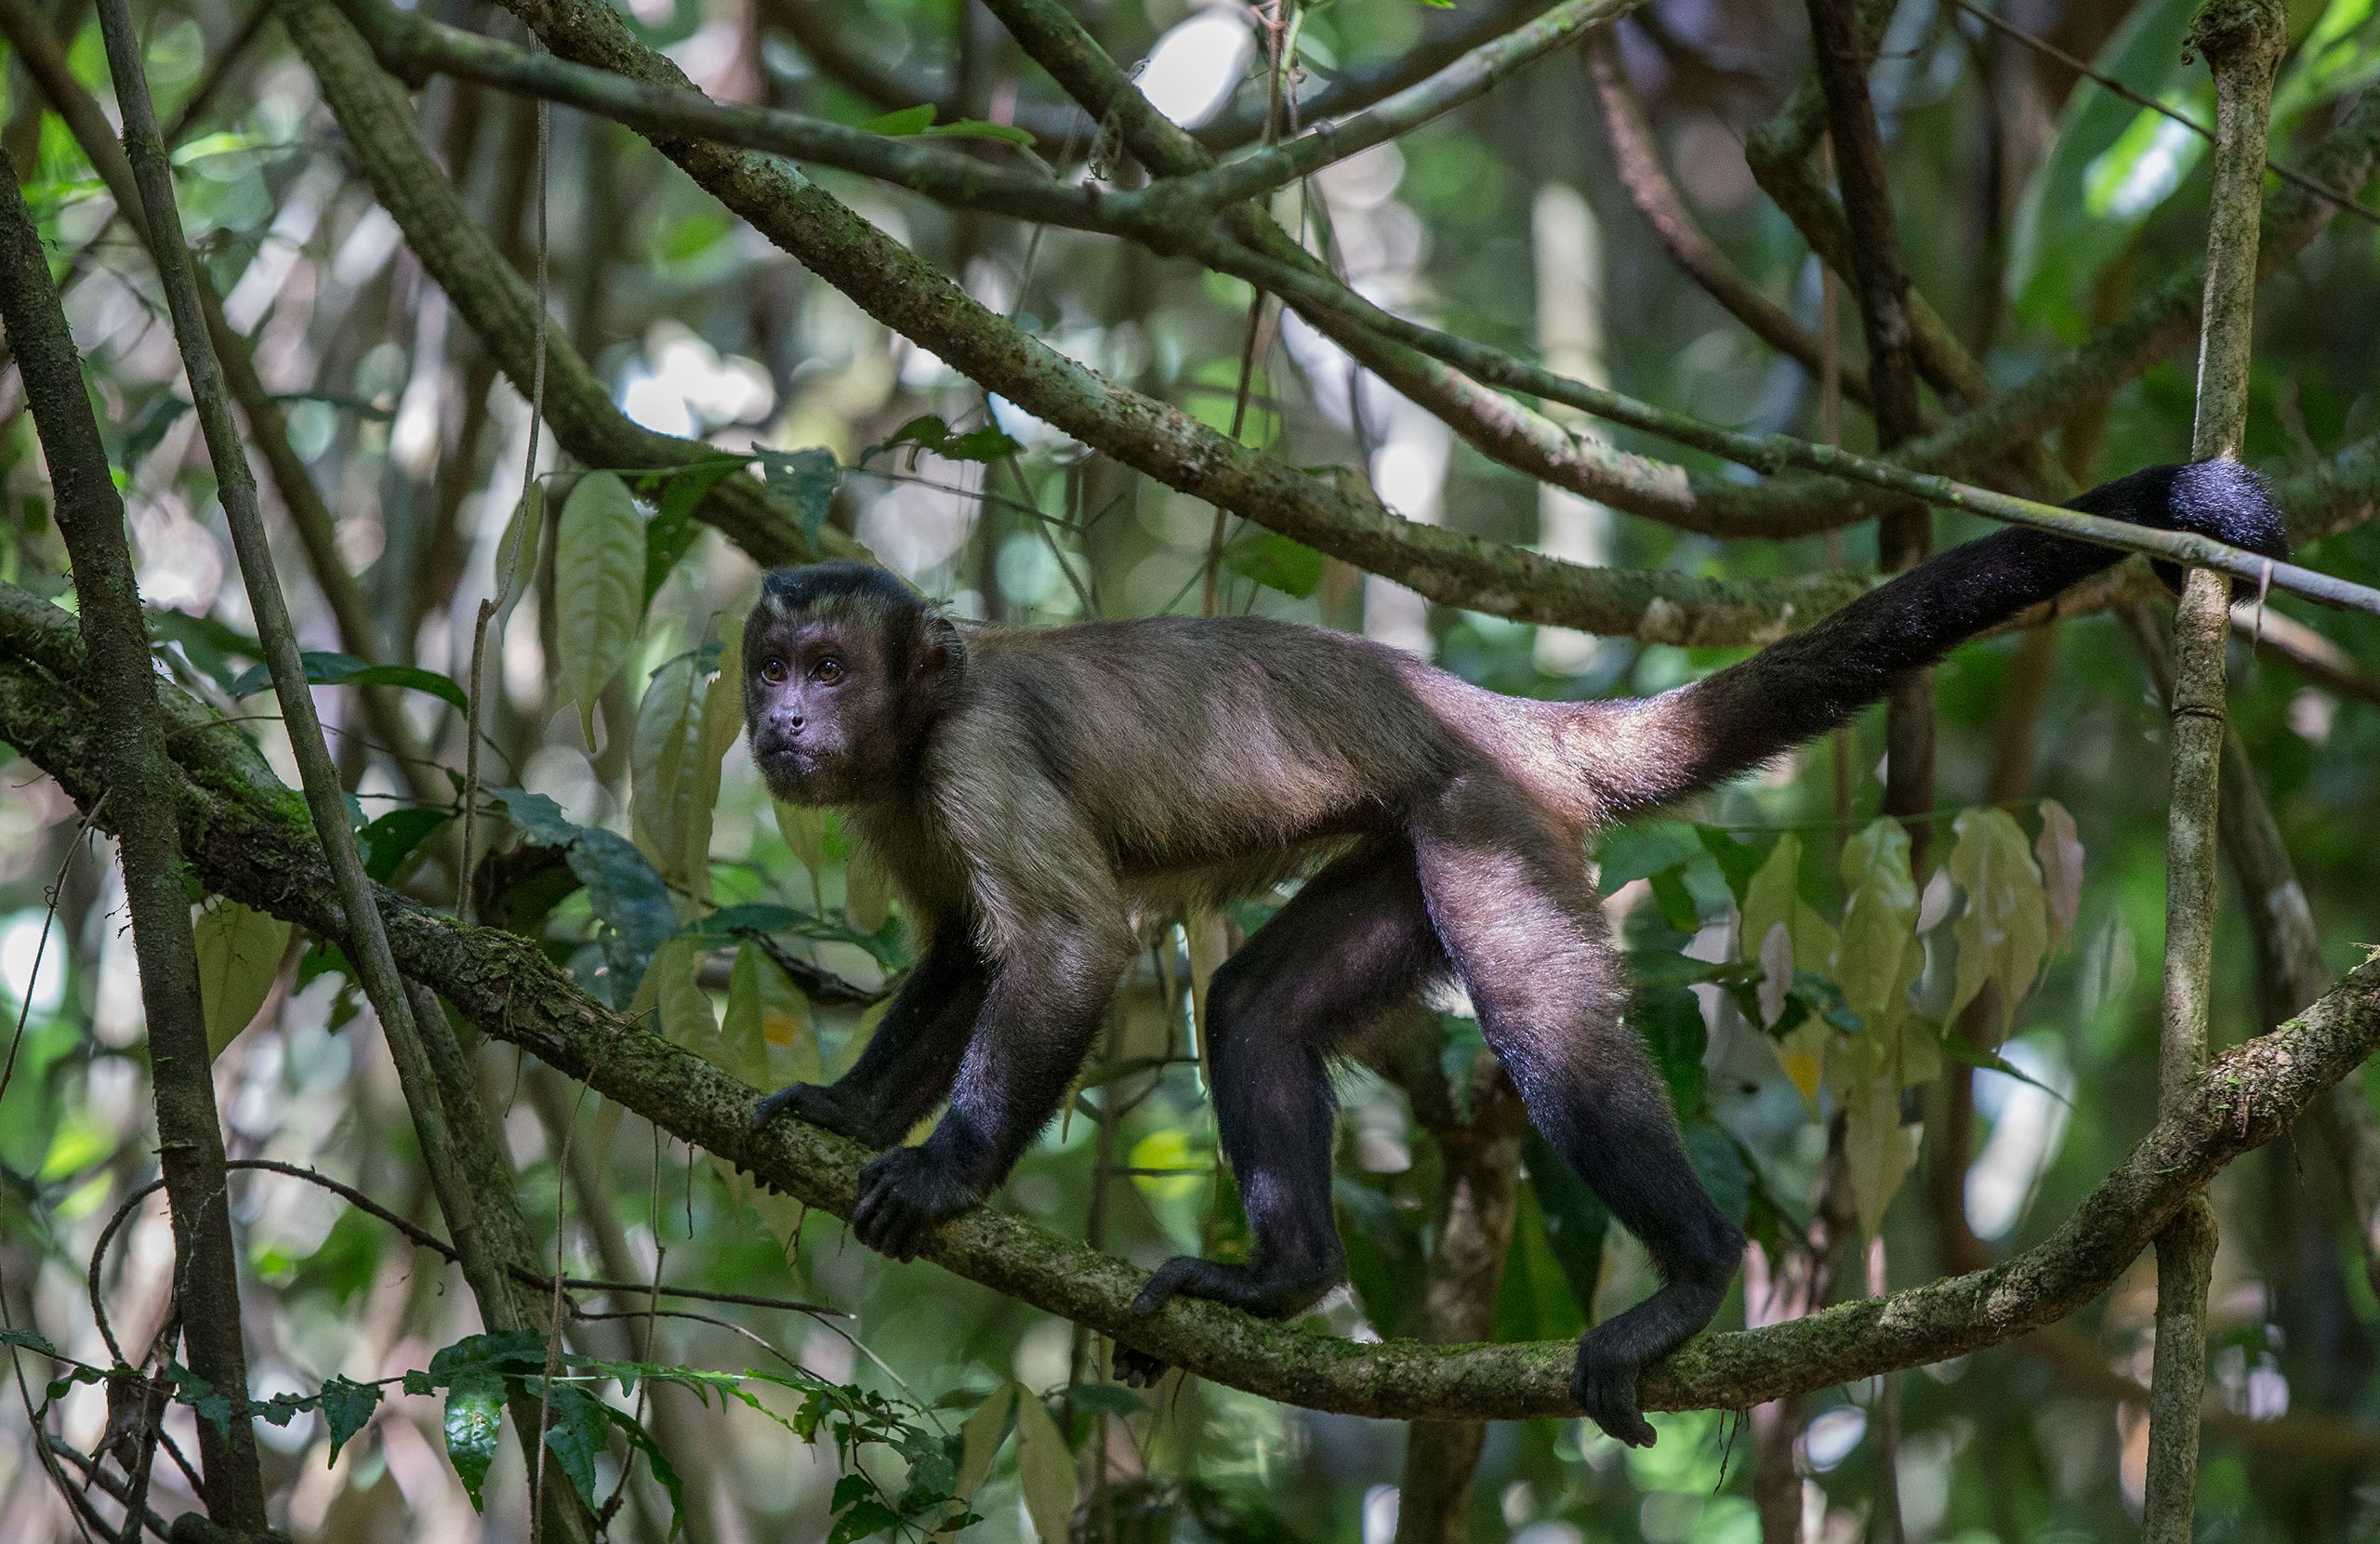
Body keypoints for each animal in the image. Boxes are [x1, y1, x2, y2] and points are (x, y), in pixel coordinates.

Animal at [743, 459, 2285, 1446]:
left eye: (828, 667)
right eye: (769, 669)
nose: (780, 723)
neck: (916, 730)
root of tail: (1498, 715)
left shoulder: (978, 754)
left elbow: (1070, 944)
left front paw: (943, 1169)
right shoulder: (904, 797)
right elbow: (960, 958)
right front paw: (846, 1109)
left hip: (1487, 814)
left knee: (1536, 1006)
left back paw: (1693, 1273)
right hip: (1414, 843)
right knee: (1255, 1005)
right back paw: (1284, 1276)